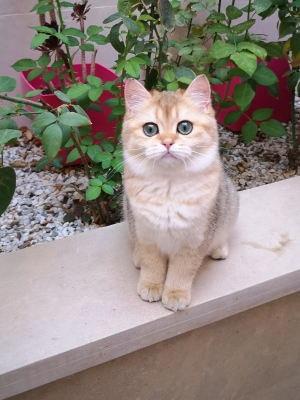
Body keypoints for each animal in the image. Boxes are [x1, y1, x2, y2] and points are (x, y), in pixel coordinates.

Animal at [122, 76, 239, 312]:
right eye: (150, 129)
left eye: (184, 127)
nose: (167, 143)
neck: (169, 186)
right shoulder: (145, 233)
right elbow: (151, 264)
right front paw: (151, 286)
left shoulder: (194, 240)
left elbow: (182, 271)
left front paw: (175, 294)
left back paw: (219, 248)